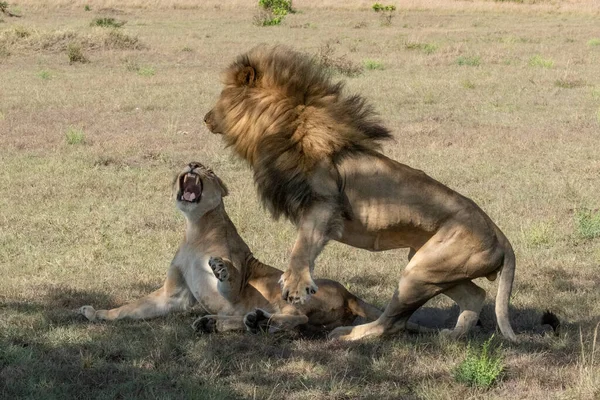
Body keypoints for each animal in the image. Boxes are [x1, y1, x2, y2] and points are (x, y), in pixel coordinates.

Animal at [78, 161, 380, 332]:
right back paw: (221, 322)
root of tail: (349, 293)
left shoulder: (235, 290)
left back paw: (258, 322)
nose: (193, 163)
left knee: (297, 320)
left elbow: (231, 280)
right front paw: (97, 314)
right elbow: (131, 308)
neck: (196, 229)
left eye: (208, 170)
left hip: (289, 292)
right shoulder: (173, 295)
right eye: (191, 163)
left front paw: (223, 268)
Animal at [204, 45, 516, 342]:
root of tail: (501, 236)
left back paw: (346, 335)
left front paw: (295, 287)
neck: (282, 127)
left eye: (222, 97)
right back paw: (452, 335)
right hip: (434, 267)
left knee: (392, 324)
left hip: (419, 272)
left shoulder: (324, 203)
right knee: (475, 295)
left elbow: (302, 246)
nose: (206, 117)